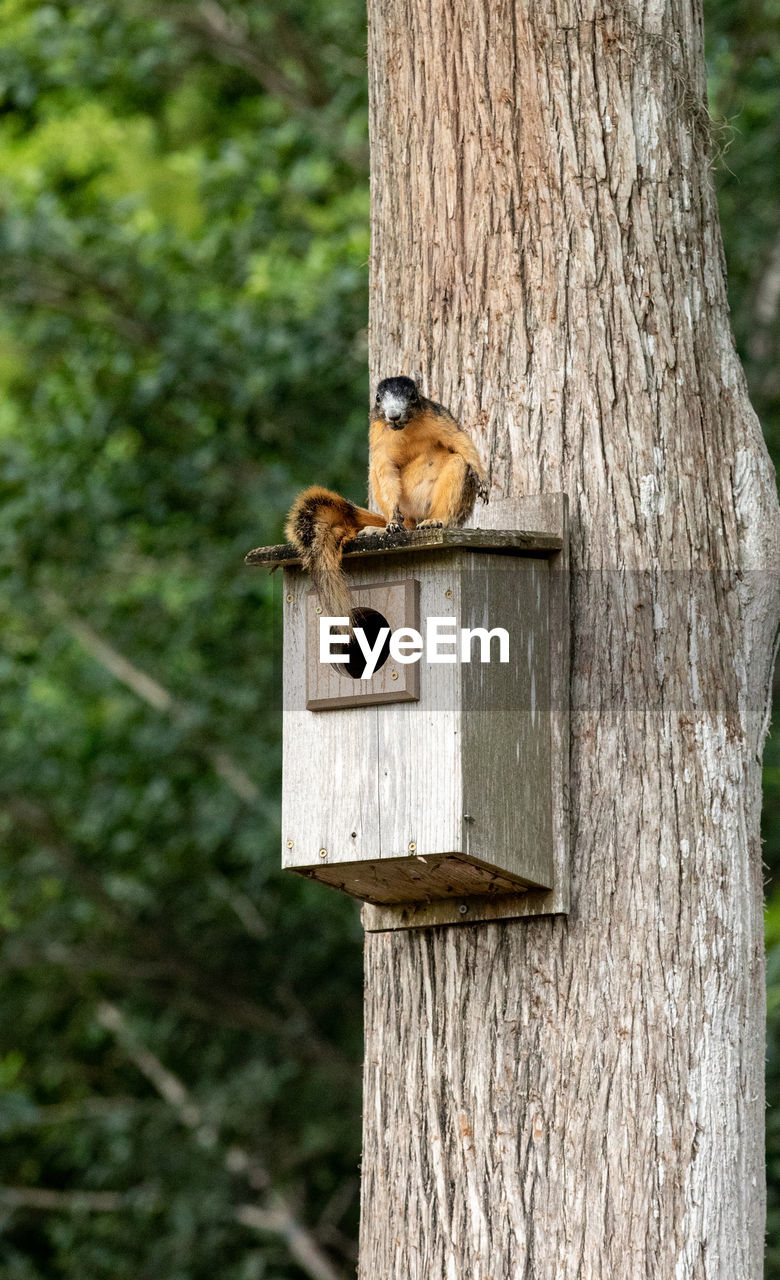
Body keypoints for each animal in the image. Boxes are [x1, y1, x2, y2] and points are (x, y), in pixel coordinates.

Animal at [283, 373, 484, 619]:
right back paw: (387, 526)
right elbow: (386, 469)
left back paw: (435, 520)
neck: (405, 428)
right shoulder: (378, 437)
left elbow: (460, 441)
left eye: (413, 396)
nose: (394, 414)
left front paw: (483, 477)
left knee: (456, 465)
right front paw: (392, 520)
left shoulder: (441, 419)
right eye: (379, 399)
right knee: (398, 508)